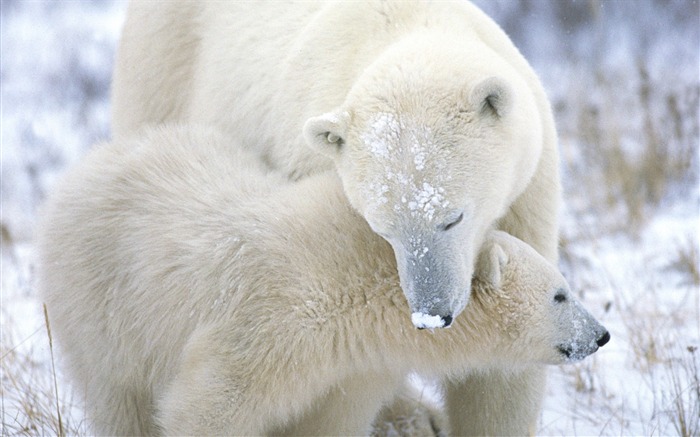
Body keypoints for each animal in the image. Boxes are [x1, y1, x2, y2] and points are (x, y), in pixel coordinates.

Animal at [112, 2, 560, 432]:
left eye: (453, 218)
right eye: (383, 229)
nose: (432, 314)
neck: (410, 27)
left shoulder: (526, 194)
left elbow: (504, 372)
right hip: (163, 75)